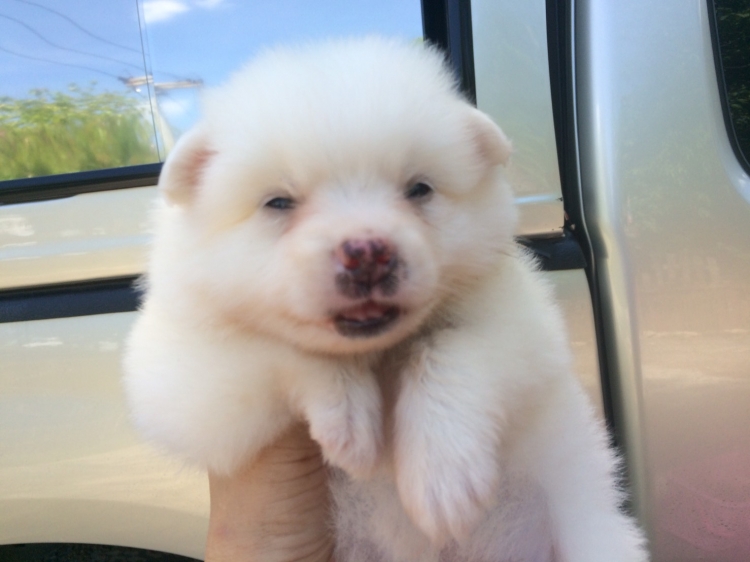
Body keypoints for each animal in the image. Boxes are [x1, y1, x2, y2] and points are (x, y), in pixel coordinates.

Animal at [123, 37, 648, 562]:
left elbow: (448, 349)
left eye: (418, 188)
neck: (375, 353)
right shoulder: (184, 376)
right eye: (279, 202)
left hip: (597, 536)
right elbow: (279, 347)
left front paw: (441, 472)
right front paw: (350, 417)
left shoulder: (520, 321)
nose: (367, 253)